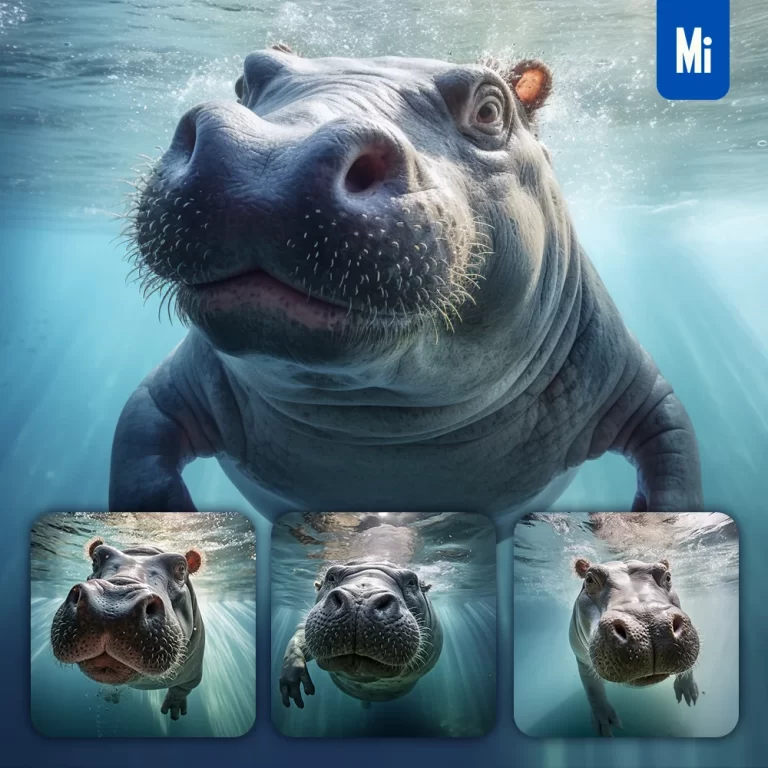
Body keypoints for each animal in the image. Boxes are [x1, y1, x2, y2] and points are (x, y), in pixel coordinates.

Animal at [50, 538, 205, 720]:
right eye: (96, 559)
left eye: (181, 568)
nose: (111, 607)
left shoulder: (193, 675)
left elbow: (182, 689)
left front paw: (174, 710)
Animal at [111, 44, 702, 524]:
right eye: (246, 79)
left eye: (490, 109)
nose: (266, 153)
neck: (382, 424)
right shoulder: (163, 394)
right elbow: (141, 458)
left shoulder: (642, 389)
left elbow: (675, 460)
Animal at [279, 560, 442, 706]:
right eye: (330, 576)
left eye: (412, 581)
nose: (360, 599)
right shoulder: (305, 627)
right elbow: (297, 641)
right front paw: (292, 682)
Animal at [569, 557, 700, 736]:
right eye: (589, 579)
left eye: (667, 576)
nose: (649, 621)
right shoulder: (582, 660)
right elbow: (593, 690)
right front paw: (604, 723)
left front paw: (689, 692)